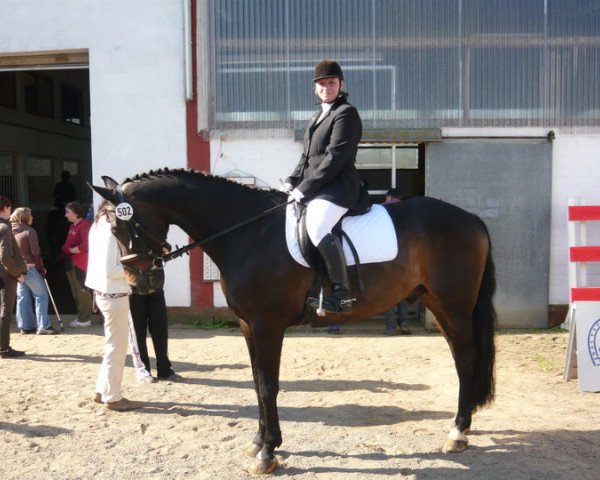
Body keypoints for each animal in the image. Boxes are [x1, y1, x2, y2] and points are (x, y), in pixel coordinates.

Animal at [91, 168, 496, 472]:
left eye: (122, 227)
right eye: (111, 231)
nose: (141, 285)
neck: (247, 233)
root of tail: (471, 218)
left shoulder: (267, 326)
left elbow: (269, 386)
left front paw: (268, 454)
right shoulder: (248, 326)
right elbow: (257, 383)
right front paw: (259, 442)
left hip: (455, 306)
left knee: (466, 362)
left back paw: (458, 433)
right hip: (438, 305)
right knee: (463, 361)